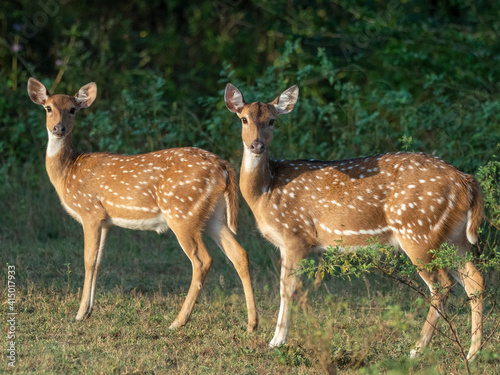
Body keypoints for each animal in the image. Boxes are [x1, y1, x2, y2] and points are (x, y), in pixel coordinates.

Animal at [25, 78, 258, 334]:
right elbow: (98, 261)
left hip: (181, 212)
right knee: (240, 254)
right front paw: (88, 311)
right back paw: (252, 323)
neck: (68, 172)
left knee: (202, 260)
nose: (58, 129)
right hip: (214, 216)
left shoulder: (90, 212)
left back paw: (178, 321)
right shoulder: (105, 221)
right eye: (48, 108)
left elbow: (87, 260)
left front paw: (79, 314)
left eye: (73, 109)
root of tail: (223, 166)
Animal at [226, 83, 484, 360]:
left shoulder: (296, 234)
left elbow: (288, 289)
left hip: (418, 232)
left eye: (272, 120)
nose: (257, 146)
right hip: (454, 238)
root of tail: (466, 182)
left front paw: (277, 342)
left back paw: (417, 349)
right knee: (475, 280)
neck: (266, 191)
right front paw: (276, 339)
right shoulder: (287, 244)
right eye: (244, 119)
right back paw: (473, 353)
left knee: (442, 284)